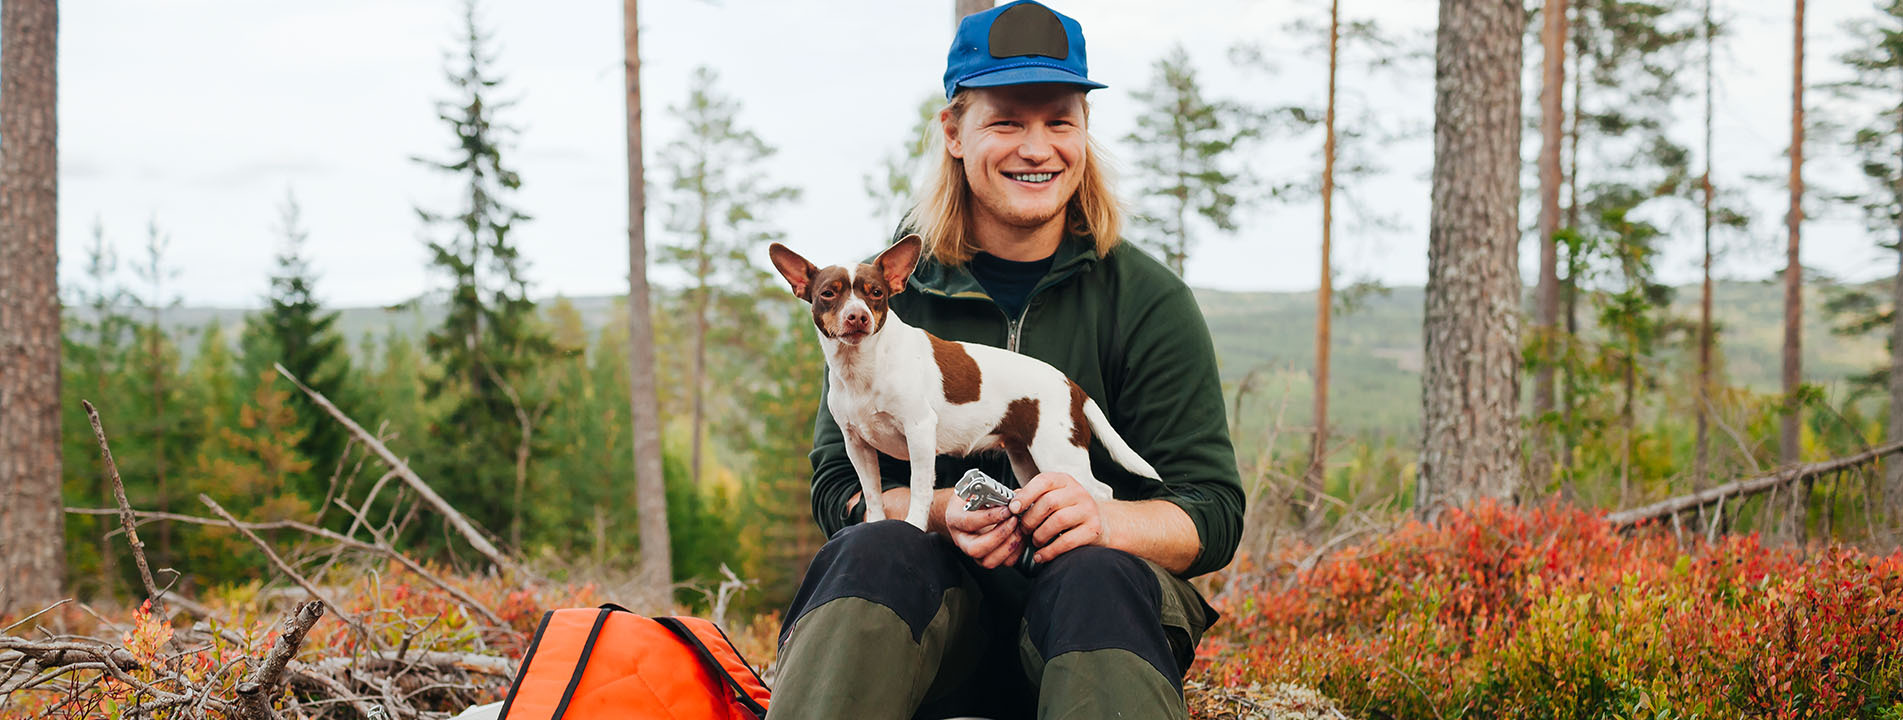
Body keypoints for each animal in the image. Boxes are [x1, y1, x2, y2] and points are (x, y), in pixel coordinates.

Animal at [768, 235, 1157, 529]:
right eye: (828, 294)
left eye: (875, 293)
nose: (857, 316)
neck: (864, 365)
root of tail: (1074, 387)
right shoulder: (857, 445)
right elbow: (872, 493)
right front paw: (876, 523)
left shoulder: (919, 432)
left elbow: (920, 488)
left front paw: (914, 526)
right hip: (1026, 458)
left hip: (1058, 453)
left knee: (1101, 492)